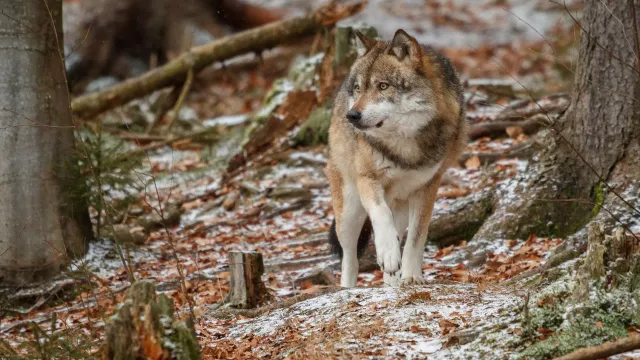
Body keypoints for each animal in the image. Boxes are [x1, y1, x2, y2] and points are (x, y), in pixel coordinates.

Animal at [324, 28, 464, 286]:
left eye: (383, 86)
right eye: (358, 88)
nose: (352, 115)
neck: (403, 146)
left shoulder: (428, 187)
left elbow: (417, 237)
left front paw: (411, 276)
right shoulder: (367, 179)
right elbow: (380, 215)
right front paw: (388, 253)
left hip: (400, 205)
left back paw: (392, 282)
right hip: (349, 211)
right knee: (349, 257)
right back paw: (348, 287)